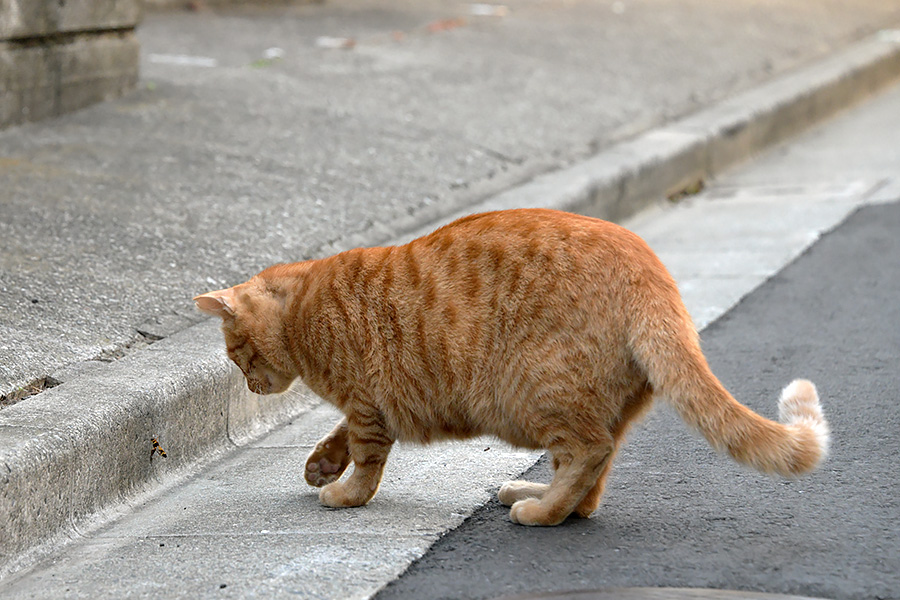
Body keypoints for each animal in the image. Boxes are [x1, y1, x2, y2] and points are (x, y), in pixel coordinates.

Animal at [195, 209, 828, 528]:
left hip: (542, 390)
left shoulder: (369, 404)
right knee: (594, 478)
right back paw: (544, 496)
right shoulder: (364, 407)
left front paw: (345, 493)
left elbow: (367, 458)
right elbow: (339, 436)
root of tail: (652, 273)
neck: (304, 307)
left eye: (236, 355)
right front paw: (321, 465)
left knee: (590, 452)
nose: (249, 383)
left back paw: (539, 510)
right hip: (602, 404)